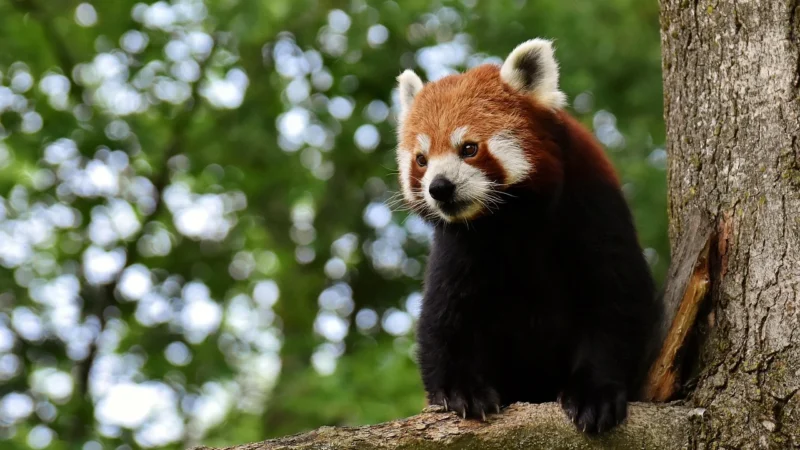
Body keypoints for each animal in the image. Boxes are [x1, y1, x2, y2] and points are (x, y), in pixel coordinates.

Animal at [393, 38, 661, 434]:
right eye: (421, 160)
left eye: (469, 148)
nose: (439, 188)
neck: (511, 220)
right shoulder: (460, 245)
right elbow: (444, 315)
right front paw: (462, 391)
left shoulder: (593, 208)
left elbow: (616, 300)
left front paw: (595, 394)